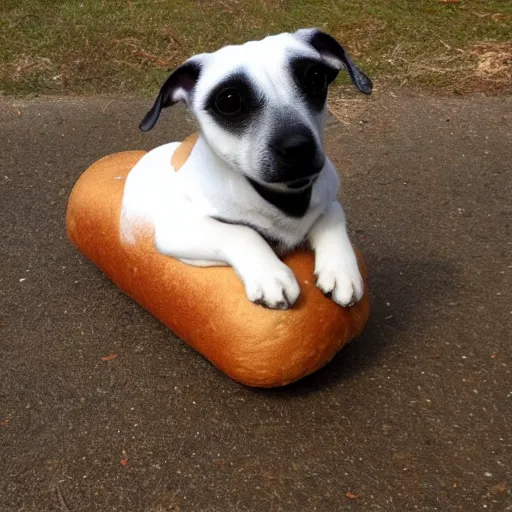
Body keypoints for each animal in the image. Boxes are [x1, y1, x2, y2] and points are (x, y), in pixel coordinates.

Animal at [122, 29, 374, 308]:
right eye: (229, 101)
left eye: (316, 78)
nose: (298, 146)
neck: (286, 199)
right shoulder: (179, 228)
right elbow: (241, 232)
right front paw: (270, 274)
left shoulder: (328, 197)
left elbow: (333, 217)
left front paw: (341, 268)